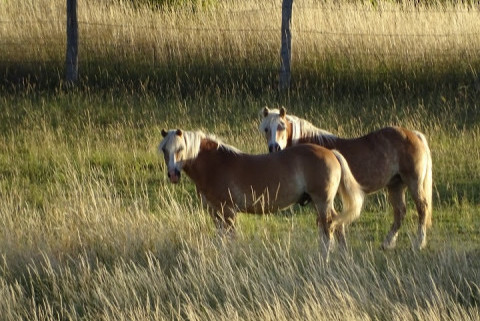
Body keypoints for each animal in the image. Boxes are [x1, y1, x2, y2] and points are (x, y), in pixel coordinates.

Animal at [158, 128, 364, 255]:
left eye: (181, 148)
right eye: (164, 150)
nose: (173, 174)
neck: (216, 164)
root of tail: (331, 153)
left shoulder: (229, 211)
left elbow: (230, 238)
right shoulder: (215, 212)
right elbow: (221, 238)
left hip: (321, 201)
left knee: (328, 229)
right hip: (319, 202)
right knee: (337, 225)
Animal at [260, 107, 434, 250]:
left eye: (282, 126)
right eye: (266, 129)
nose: (274, 147)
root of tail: (413, 134)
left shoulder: (321, 199)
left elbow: (328, 223)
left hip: (414, 182)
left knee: (422, 208)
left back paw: (418, 243)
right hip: (395, 185)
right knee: (400, 213)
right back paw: (387, 243)